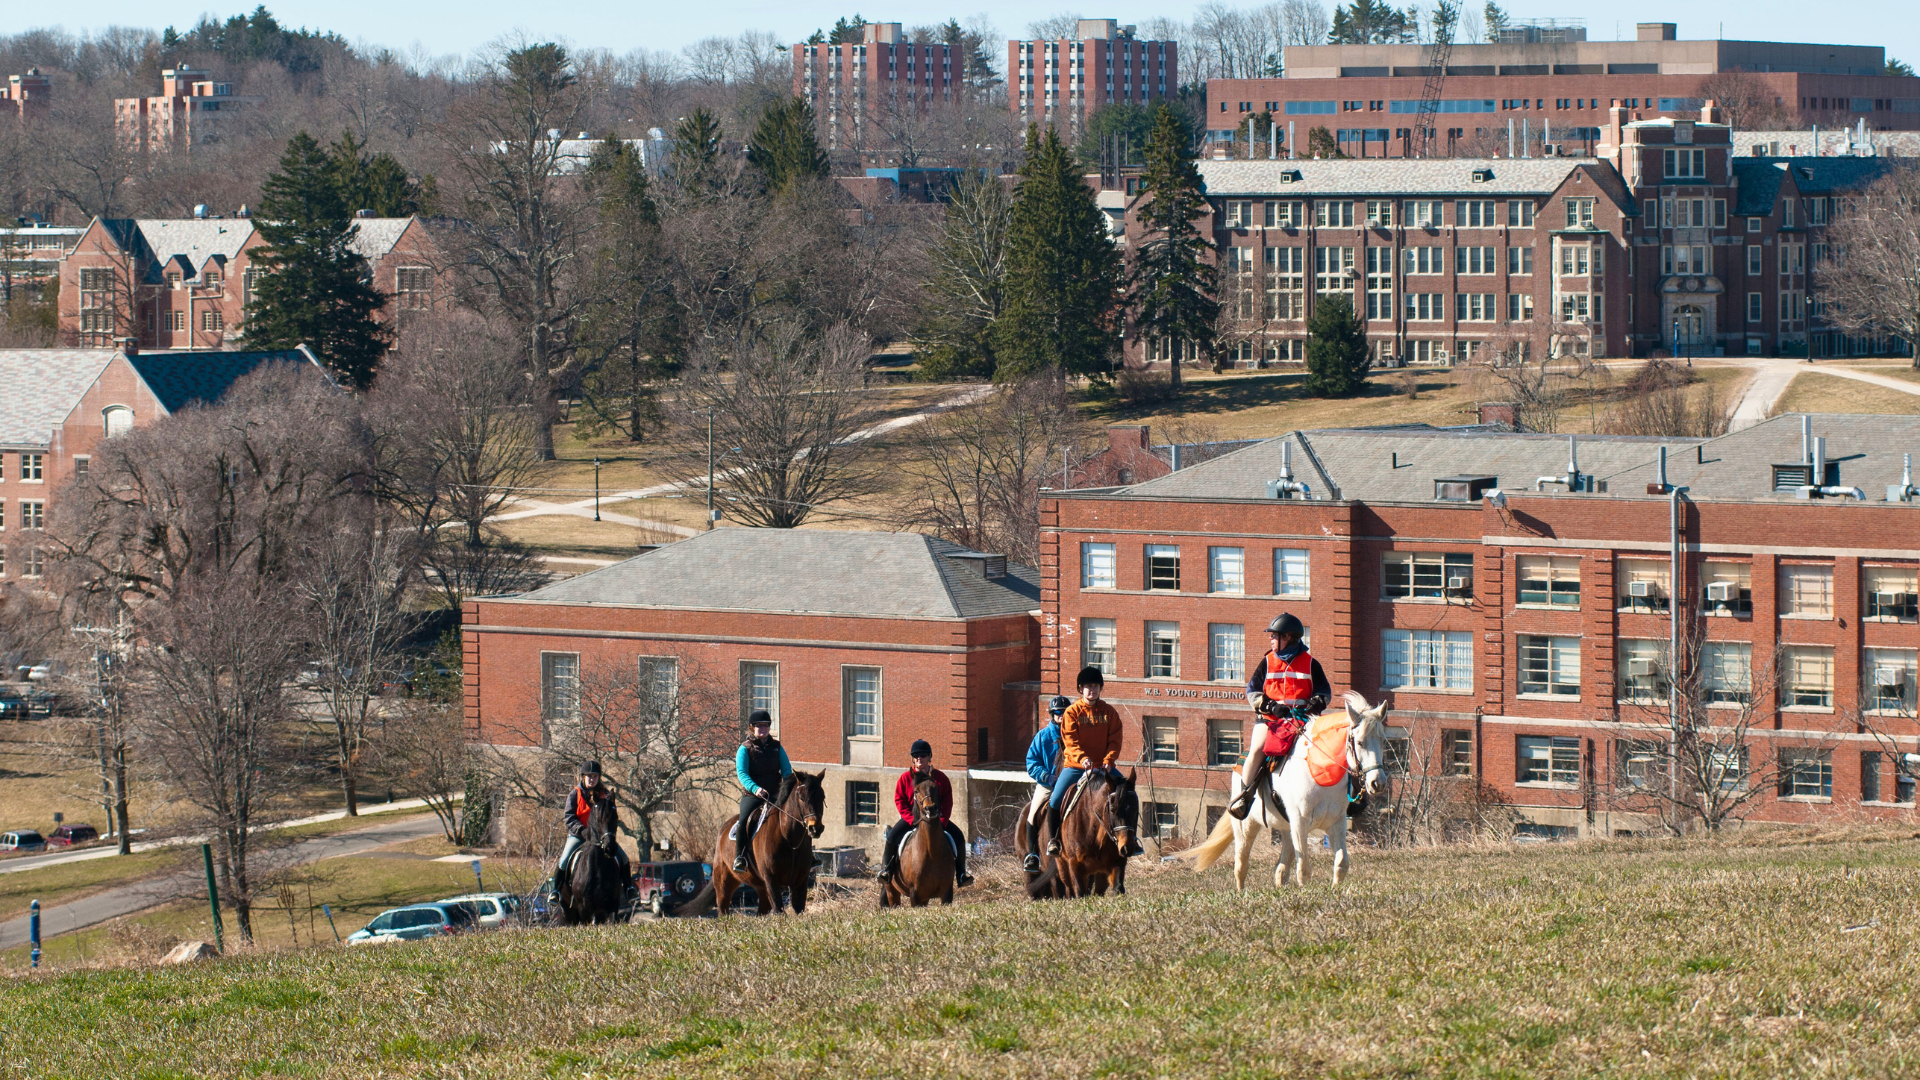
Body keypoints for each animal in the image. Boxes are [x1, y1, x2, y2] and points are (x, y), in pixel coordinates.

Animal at [560, 791, 625, 926]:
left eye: (615, 817)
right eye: (597, 819)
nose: (610, 848)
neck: (598, 867)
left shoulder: (612, 905)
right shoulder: (584, 907)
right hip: (570, 912)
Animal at [679, 768, 821, 910]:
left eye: (822, 797)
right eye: (801, 798)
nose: (815, 828)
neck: (789, 841)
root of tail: (722, 829)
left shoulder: (800, 881)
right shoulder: (772, 881)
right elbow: (778, 909)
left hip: (761, 888)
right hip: (724, 883)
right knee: (723, 908)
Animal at [1021, 764, 1136, 899]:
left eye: (1135, 808)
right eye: (1112, 809)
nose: (1127, 847)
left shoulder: (1116, 862)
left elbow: (1117, 888)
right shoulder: (1075, 865)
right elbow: (1079, 892)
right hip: (1061, 865)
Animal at [1190, 691, 1390, 887]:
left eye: (1382, 741)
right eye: (1360, 742)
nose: (1378, 783)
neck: (1319, 772)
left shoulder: (1336, 823)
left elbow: (1341, 864)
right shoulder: (1300, 822)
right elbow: (1304, 871)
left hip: (1286, 827)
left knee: (1281, 868)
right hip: (1246, 825)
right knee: (1241, 865)